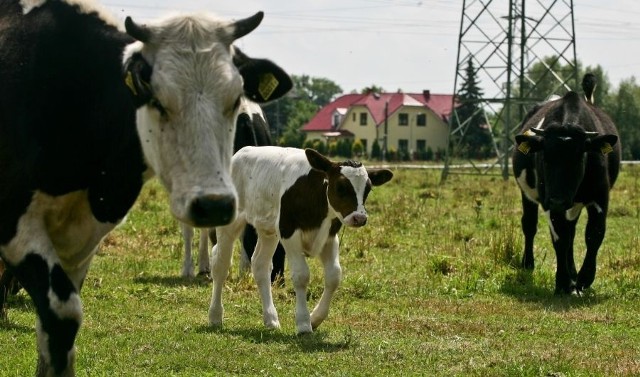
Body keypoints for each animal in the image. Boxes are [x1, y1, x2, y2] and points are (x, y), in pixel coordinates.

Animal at [209, 145, 396, 334]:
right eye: (340, 186)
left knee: (260, 265)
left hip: (268, 229)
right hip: (230, 222)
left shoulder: (329, 237)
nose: (359, 218)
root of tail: (242, 152)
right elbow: (301, 275)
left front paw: (315, 318)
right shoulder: (289, 233)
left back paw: (271, 318)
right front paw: (304, 323)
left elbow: (334, 276)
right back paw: (215, 316)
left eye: (368, 189)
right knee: (220, 264)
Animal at [510, 73, 620, 296]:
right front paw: (563, 282)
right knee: (530, 225)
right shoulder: (549, 199)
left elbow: (594, 233)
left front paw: (584, 278)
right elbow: (560, 238)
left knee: (572, 231)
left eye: (578, 158)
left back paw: (574, 272)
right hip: (529, 195)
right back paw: (529, 264)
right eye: (544, 159)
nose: (558, 200)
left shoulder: (600, 196)